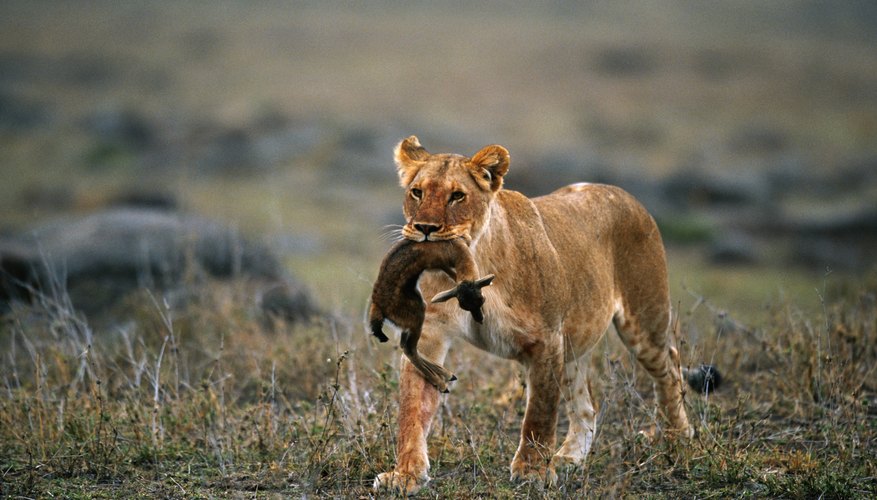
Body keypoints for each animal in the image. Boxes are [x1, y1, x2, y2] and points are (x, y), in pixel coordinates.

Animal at [372, 135, 708, 494]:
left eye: (457, 196)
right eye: (417, 192)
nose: (424, 228)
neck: (475, 260)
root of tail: (621, 192)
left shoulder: (546, 339)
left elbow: (540, 412)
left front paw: (532, 471)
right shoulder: (431, 336)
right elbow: (412, 409)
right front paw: (405, 474)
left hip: (643, 321)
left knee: (670, 366)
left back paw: (677, 437)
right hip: (574, 344)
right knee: (587, 407)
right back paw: (569, 458)